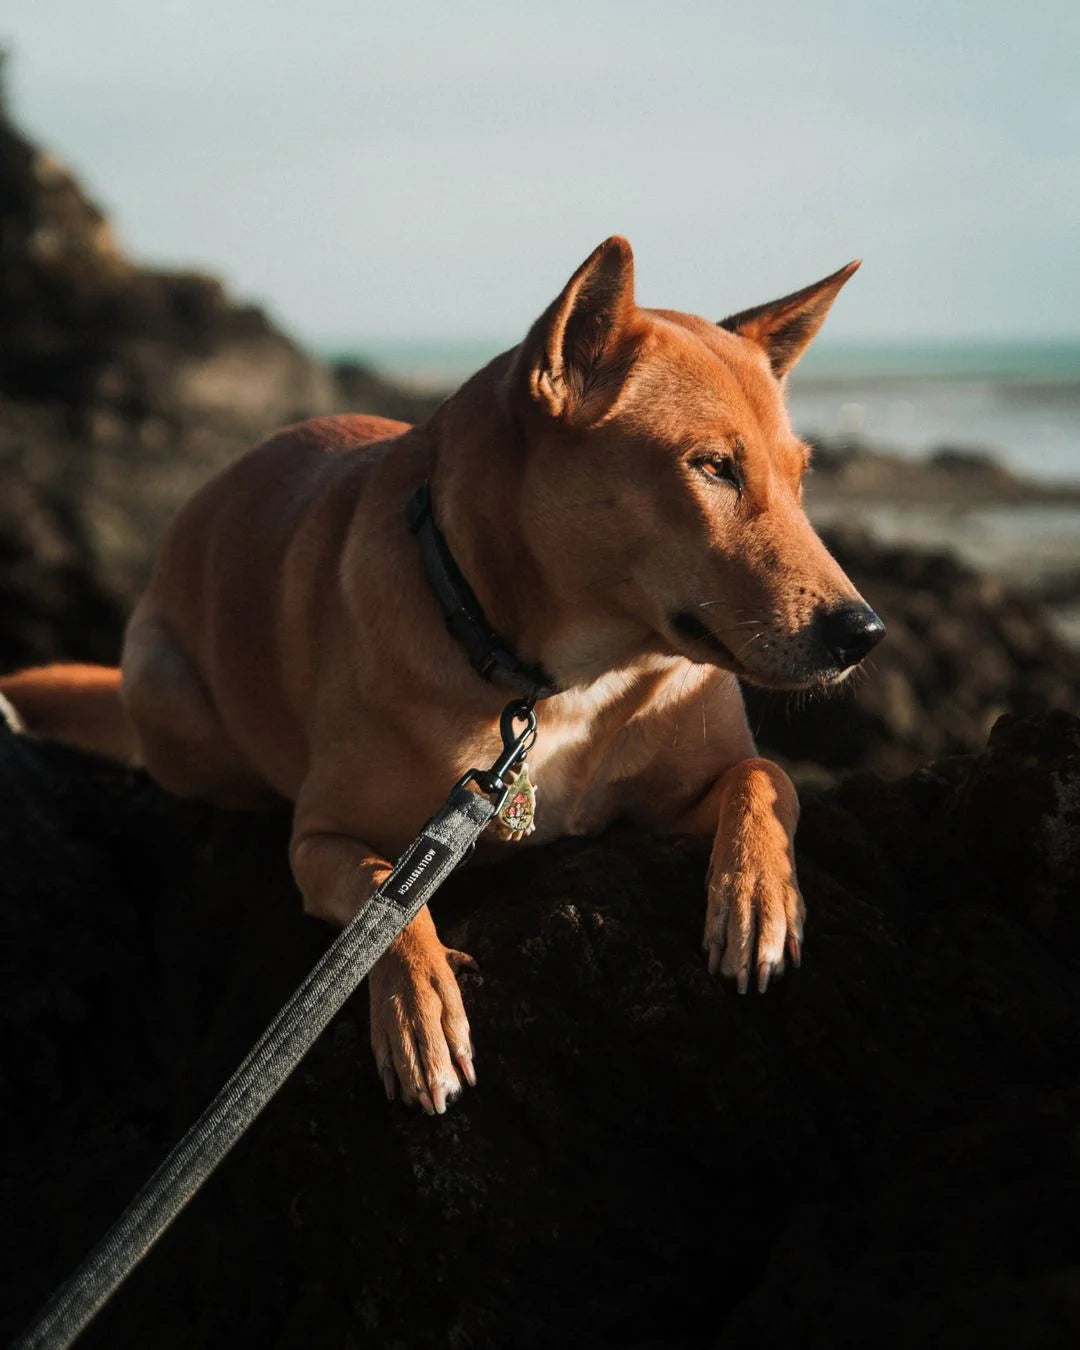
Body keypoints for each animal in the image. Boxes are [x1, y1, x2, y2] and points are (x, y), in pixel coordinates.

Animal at [2, 237, 885, 1112]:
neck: (568, 683)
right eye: (713, 468)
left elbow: (766, 778)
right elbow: (383, 894)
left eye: (802, 477)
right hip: (170, 694)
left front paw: (758, 896)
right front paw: (416, 1004)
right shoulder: (320, 838)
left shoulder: (675, 797)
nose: (864, 633)